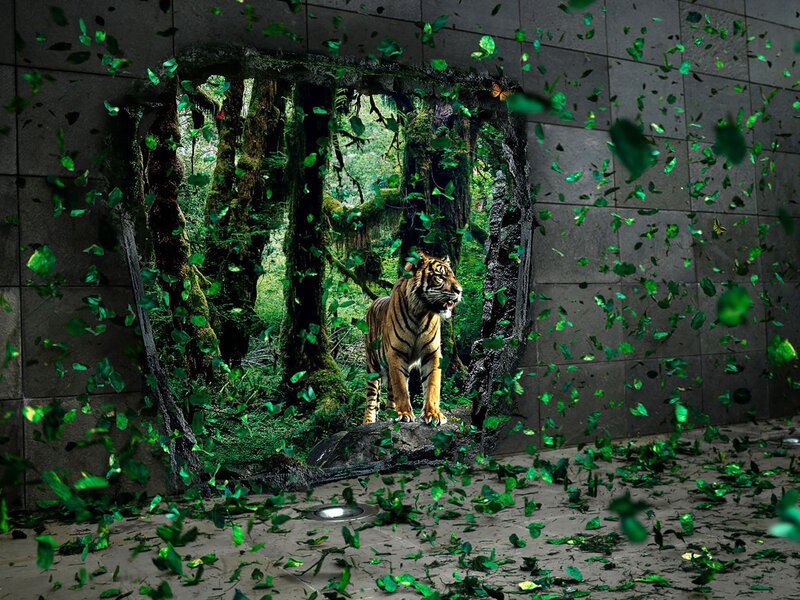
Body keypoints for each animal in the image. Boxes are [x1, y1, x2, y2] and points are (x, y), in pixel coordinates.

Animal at [363, 251, 463, 426]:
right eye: (440, 276)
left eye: (453, 275)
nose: (460, 291)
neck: (421, 313)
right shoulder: (396, 353)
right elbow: (401, 388)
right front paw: (405, 413)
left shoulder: (432, 353)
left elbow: (432, 384)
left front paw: (433, 414)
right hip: (373, 367)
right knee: (371, 400)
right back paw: (369, 422)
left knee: (390, 395)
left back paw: (391, 414)